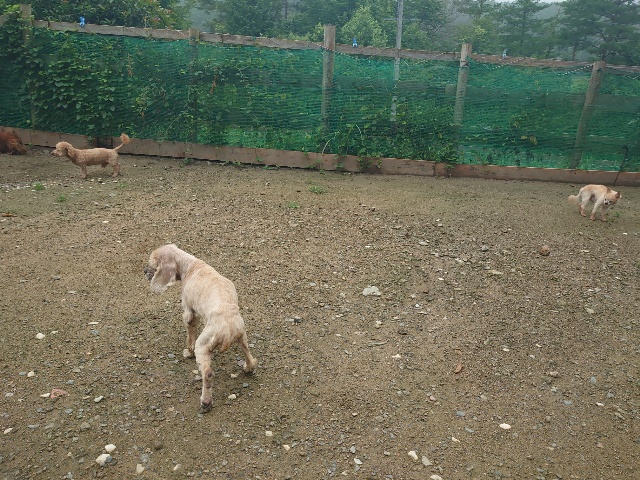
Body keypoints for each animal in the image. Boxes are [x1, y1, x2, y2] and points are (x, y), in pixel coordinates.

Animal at [144, 244, 258, 413]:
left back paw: (206, 401)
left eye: (153, 263)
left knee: (208, 373)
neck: (191, 266)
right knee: (249, 355)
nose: (144, 271)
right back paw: (248, 368)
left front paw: (188, 353)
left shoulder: (189, 313)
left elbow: (189, 336)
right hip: (242, 335)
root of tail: (228, 329)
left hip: (203, 344)